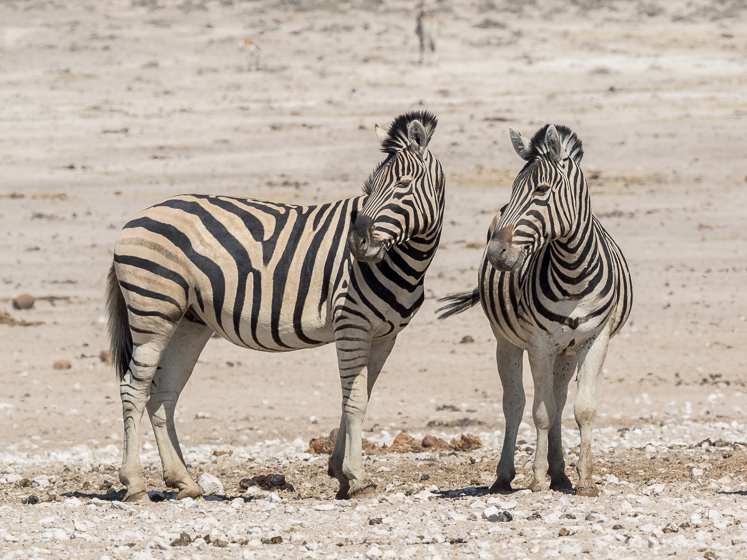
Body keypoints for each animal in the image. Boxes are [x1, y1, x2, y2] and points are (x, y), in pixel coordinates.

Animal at [106, 110, 445, 502]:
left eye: (403, 184)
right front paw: (358, 478)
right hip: (153, 313)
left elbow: (357, 398)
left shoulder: (385, 335)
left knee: (162, 394)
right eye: (370, 186)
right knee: (133, 389)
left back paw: (184, 481)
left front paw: (341, 474)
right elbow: (355, 401)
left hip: (190, 321)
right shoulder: (352, 324)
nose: (356, 243)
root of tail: (135, 218)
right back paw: (134, 484)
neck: (406, 260)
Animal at [438, 124, 632, 497]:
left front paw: (585, 478)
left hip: (566, 350)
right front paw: (538, 477)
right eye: (514, 189)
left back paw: (561, 474)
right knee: (515, 404)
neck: (574, 271)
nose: (496, 252)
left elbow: (583, 409)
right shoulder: (539, 344)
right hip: (507, 342)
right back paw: (506, 476)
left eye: (542, 190)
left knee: (559, 399)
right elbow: (541, 411)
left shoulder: (595, 339)